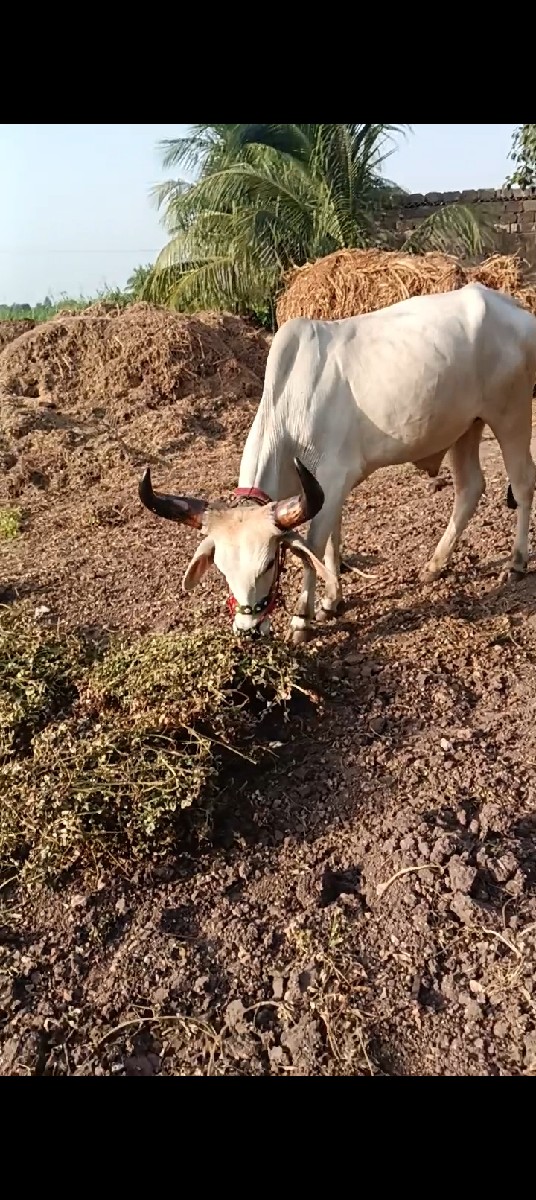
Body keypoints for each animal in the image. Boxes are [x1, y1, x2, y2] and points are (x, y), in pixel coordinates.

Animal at [139, 282, 536, 644]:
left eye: (269, 563)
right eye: (221, 568)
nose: (249, 631)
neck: (289, 408)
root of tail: (514, 308)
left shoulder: (330, 479)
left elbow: (311, 549)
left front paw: (302, 618)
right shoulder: (324, 490)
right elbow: (332, 541)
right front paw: (332, 601)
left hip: (511, 415)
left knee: (522, 482)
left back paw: (516, 563)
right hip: (466, 427)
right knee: (470, 488)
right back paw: (434, 566)